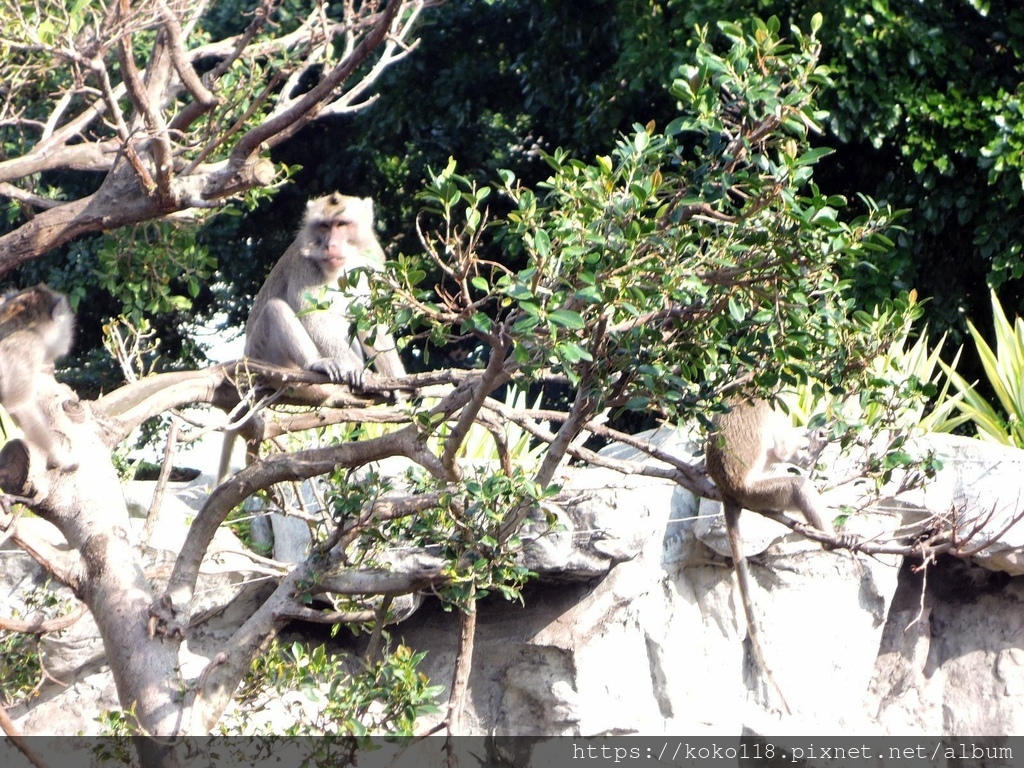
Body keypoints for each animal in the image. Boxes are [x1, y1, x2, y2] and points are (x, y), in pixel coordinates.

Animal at [704, 397, 839, 716]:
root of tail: (729, 490)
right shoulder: (775, 407)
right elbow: (782, 450)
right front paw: (813, 447)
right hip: (756, 493)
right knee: (796, 486)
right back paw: (831, 541)